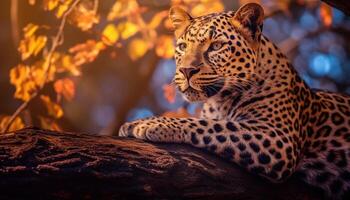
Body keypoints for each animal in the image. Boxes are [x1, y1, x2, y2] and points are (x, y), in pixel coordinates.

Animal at [119, 2, 350, 198]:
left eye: (216, 46)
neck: (219, 101)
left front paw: (148, 123)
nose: (186, 71)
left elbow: (209, 125)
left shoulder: (278, 137)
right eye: (183, 47)